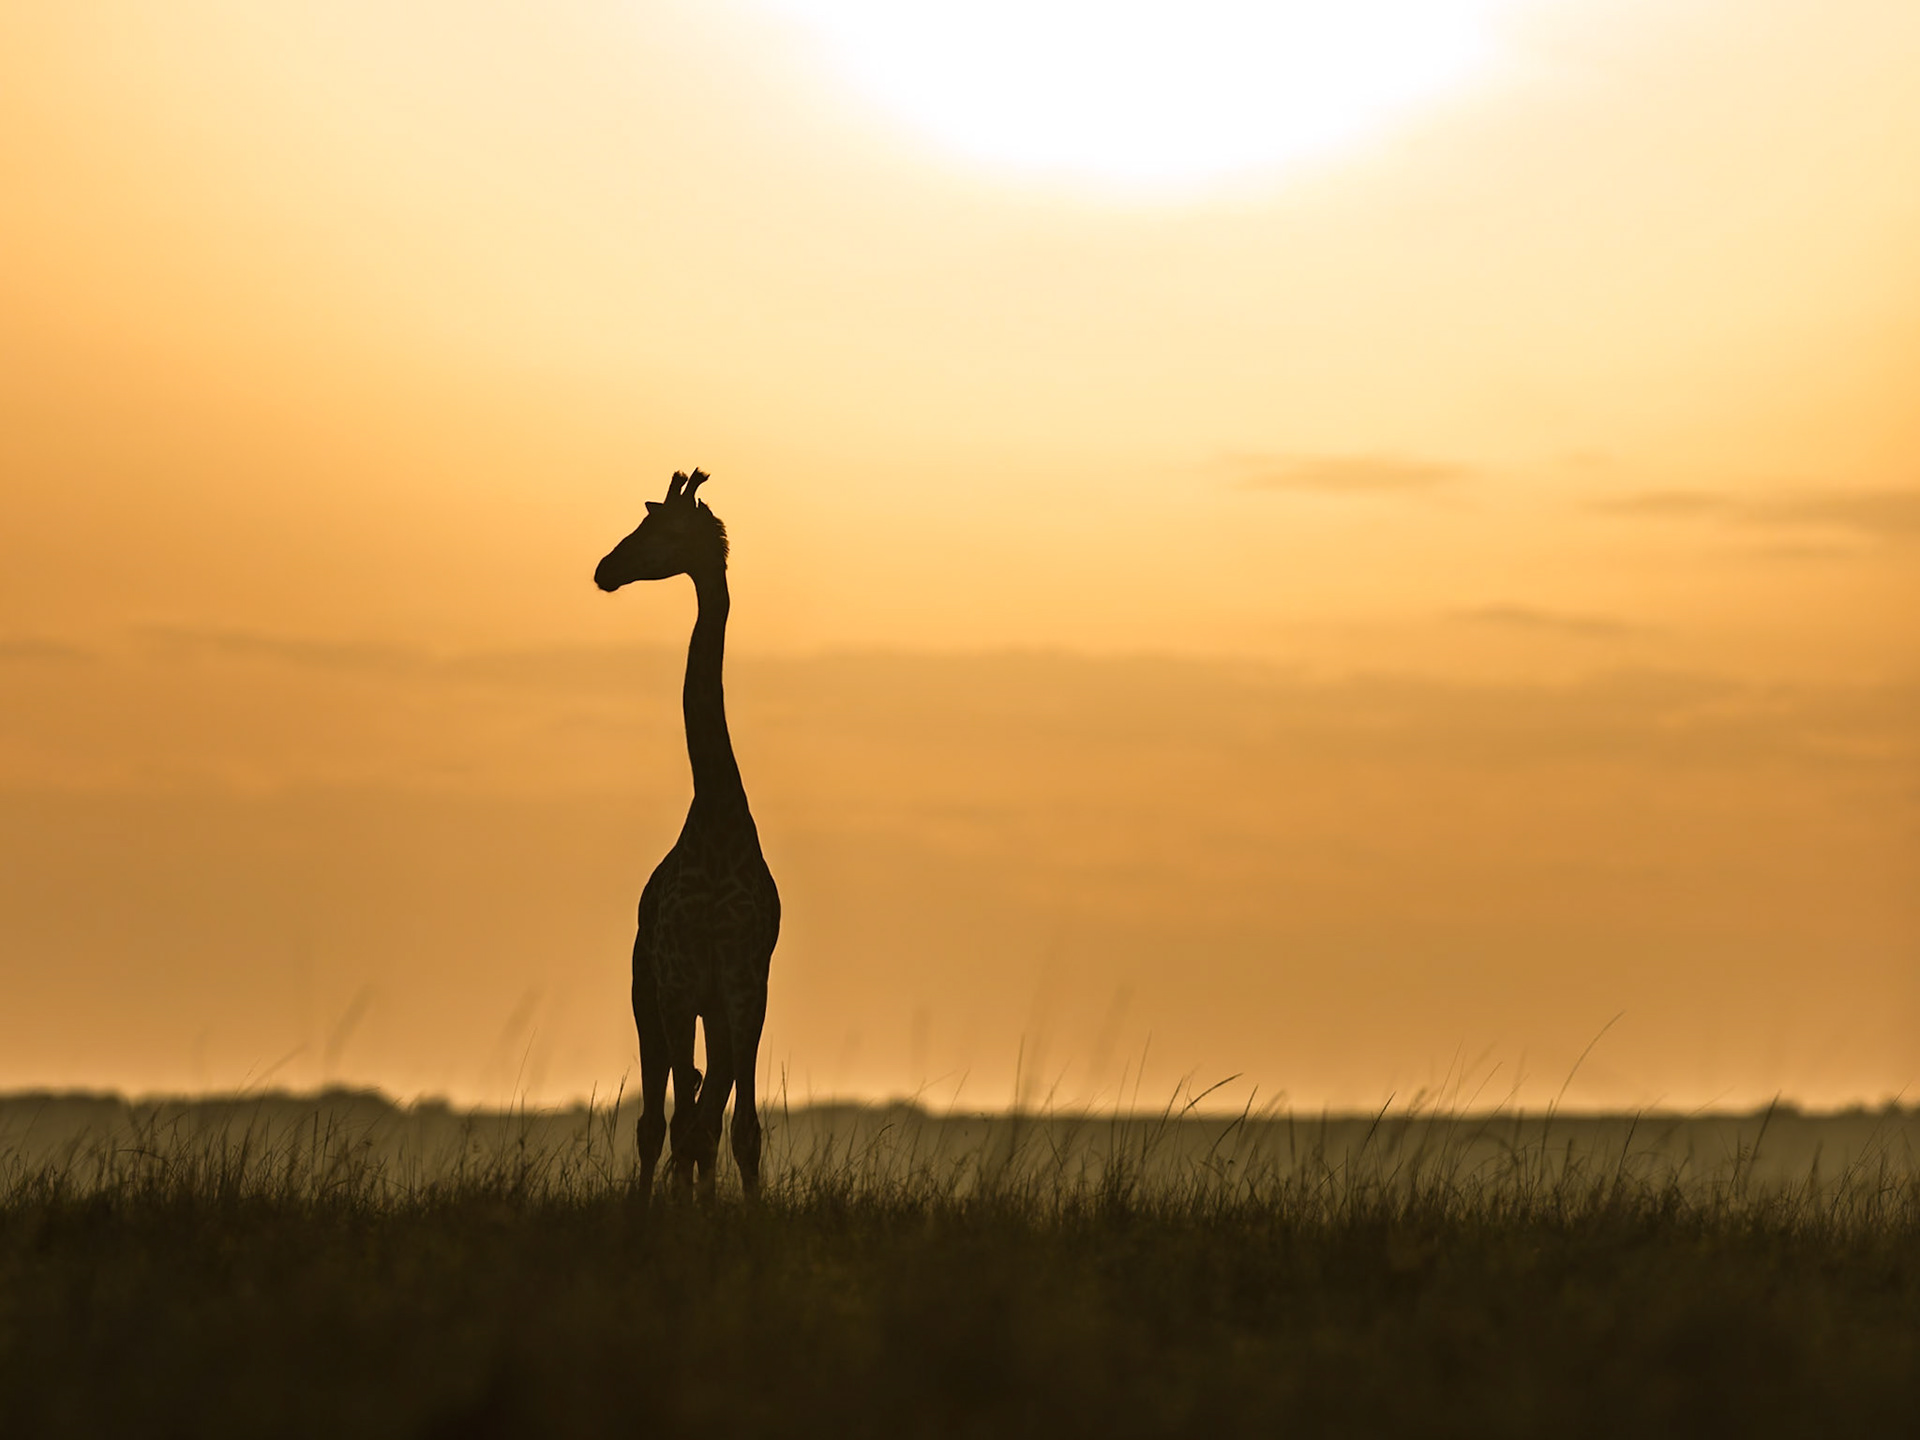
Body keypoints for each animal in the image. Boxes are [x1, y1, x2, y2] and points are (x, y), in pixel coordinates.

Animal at [594, 468, 780, 1200]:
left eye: (665, 532)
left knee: (700, 1112)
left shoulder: (744, 988)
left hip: (711, 1011)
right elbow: (679, 1124)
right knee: (659, 1118)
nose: (605, 569)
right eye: (641, 524)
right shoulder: (674, 982)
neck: (717, 815)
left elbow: (740, 1128)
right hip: (644, 995)